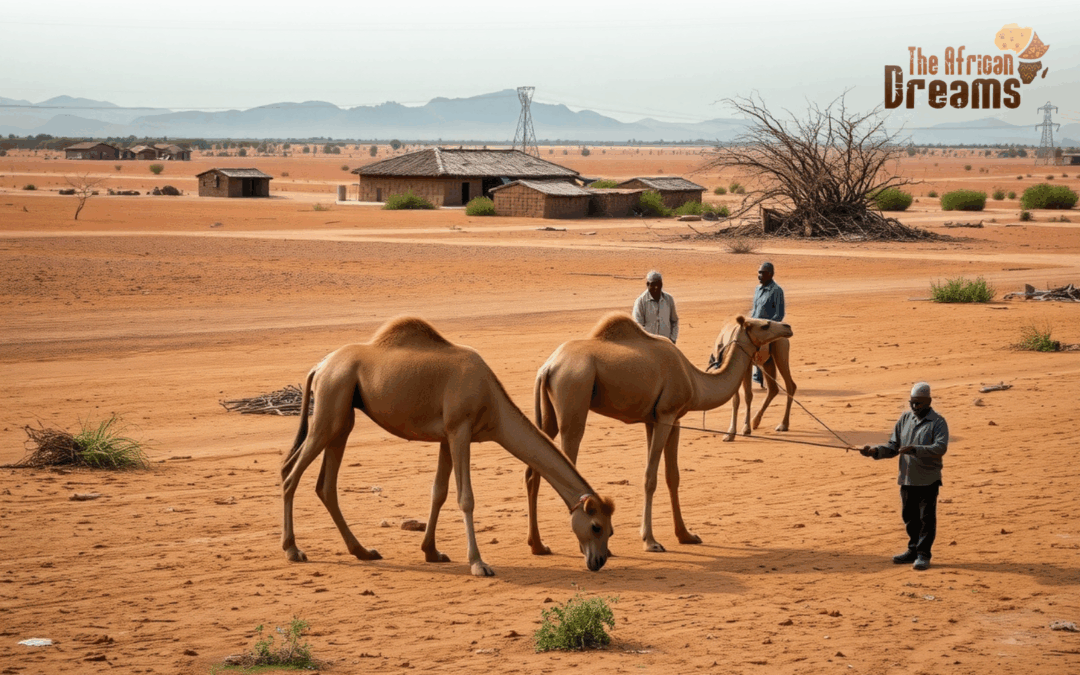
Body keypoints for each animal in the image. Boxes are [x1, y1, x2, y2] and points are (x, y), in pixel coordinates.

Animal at [281, 317, 615, 577]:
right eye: (597, 526)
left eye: (611, 530)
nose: (598, 560)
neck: (492, 403)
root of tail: (319, 367)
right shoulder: (459, 430)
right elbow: (465, 498)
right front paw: (479, 564)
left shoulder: (446, 437)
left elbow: (438, 492)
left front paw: (432, 552)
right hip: (330, 406)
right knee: (290, 474)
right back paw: (293, 550)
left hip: (342, 414)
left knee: (325, 484)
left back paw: (363, 551)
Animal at [528, 313, 792, 554]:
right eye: (764, 324)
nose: (787, 327)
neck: (694, 380)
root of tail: (548, 367)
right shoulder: (666, 415)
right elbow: (650, 477)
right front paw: (650, 541)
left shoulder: (664, 420)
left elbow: (672, 476)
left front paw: (686, 535)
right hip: (573, 397)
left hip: (549, 414)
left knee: (534, 470)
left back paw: (539, 545)